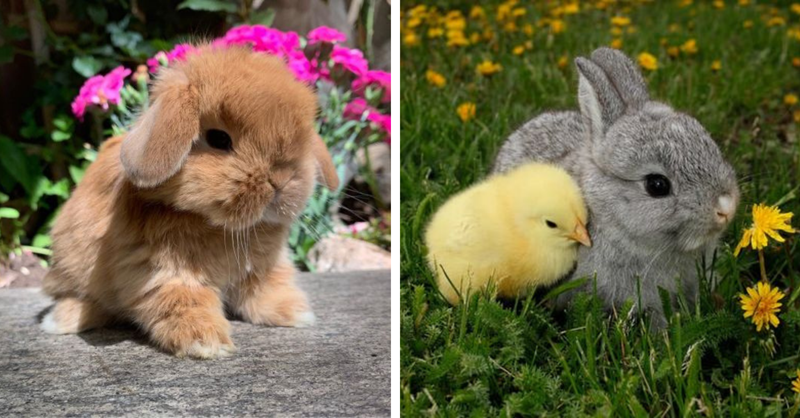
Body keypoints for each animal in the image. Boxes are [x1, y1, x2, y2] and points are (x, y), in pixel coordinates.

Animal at [40, 45, 340, 359]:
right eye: (218, 139)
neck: (218, 226)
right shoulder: (163, 273)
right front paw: (206, 343)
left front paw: (296, 313)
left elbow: (264, 291)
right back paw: (62, 319)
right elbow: (183, 301)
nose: (281, 179)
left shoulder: (262, 269)